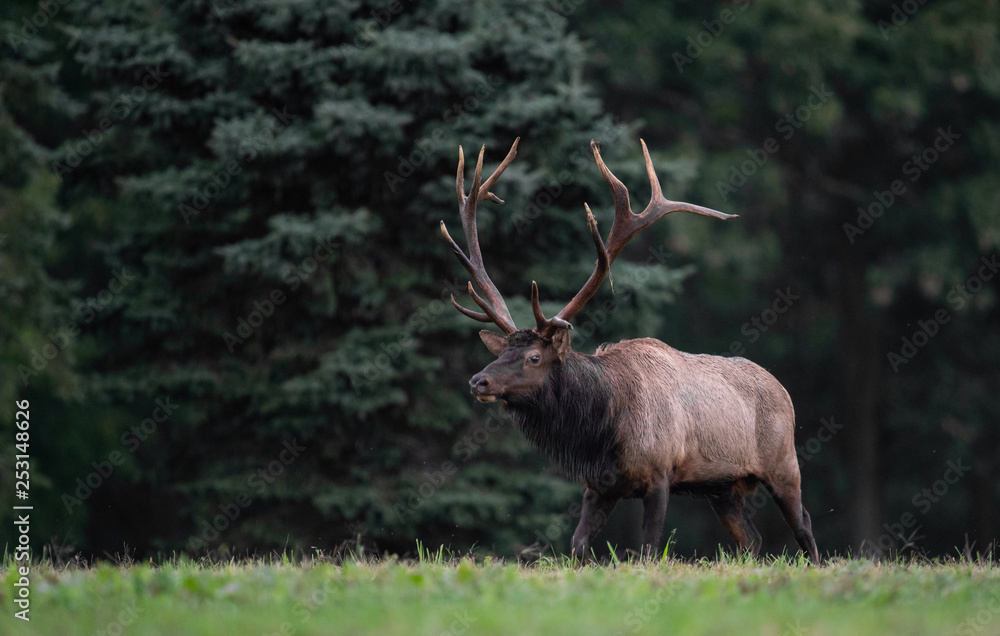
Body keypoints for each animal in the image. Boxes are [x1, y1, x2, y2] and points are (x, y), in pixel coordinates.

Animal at [439, 138, 820, 564]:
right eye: (501, 352)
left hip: (784, 463)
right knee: (751, 540)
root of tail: (782, 389)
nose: (479, 381)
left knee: (804, 526)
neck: (603, 430)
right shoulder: (599, 486)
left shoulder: (660, 473)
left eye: (533, 357)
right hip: (724, 488)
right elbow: (578, 546)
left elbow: (650, 548)